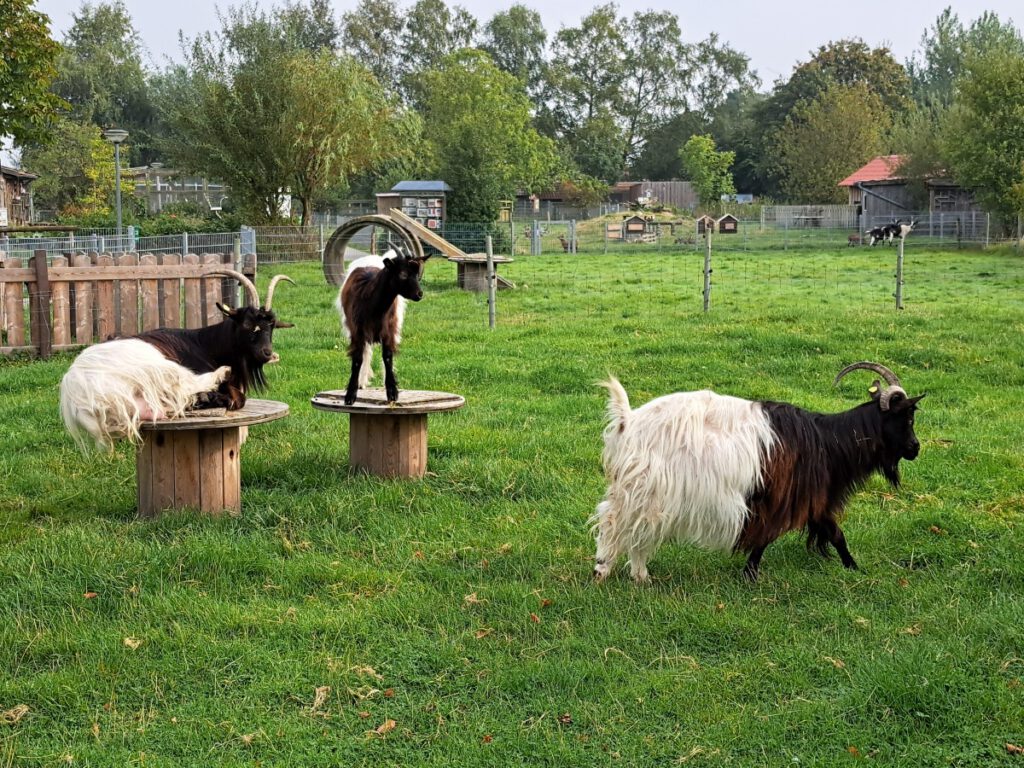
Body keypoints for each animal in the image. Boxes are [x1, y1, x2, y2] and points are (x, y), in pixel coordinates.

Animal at [59, 268, 294, 450]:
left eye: (272, 326)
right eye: (247, 325)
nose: (267, 353)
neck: (206, 343)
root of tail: (76, 389)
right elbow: (238, 398)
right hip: (157, 367)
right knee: (190, 385)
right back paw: (213, 386)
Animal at [337, 247, 430, 405]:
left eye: (417, 275)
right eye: (403, 274)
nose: (419, 294)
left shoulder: (388, 331)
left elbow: (387, 357)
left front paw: (392, 392)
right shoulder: (357, 331)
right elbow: (357, 359)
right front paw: (350, 395)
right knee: (366, 352)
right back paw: (362, 382)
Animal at [589, 364, 925, 585]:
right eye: (907, 417)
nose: (915, 448)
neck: (828, 442)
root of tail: (628, 421)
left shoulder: (803, 501)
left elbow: (825, 533)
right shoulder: (795, 498)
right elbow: (827, 534)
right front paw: (855, 569)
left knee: (637, 531)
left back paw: (639, 577)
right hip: (646, 486)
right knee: (614, 523)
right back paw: (605, 571)